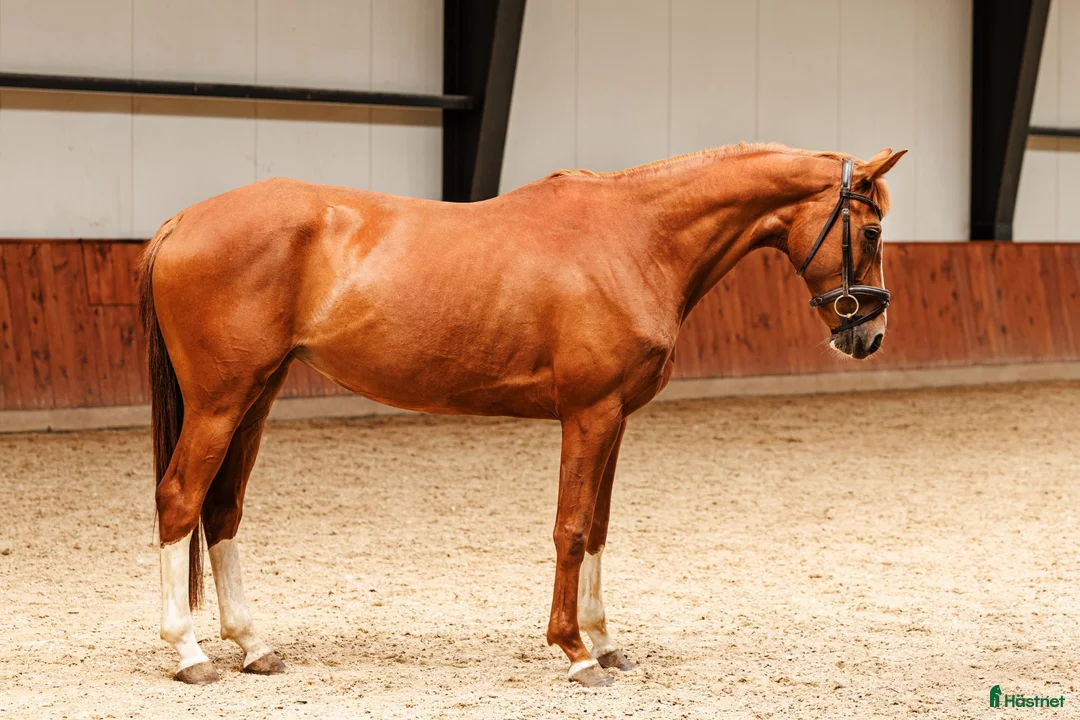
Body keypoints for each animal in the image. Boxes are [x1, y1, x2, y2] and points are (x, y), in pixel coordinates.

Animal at [139, 142, 905, 687]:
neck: (637, 238)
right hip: (219, 402)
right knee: (180, 500)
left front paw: (606, 641)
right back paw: (189, 653)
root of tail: (182, 221)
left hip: (256, 398)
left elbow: (598, 530)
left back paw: (253, 646)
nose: (867, 335)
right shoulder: (589, 415)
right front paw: (575, 651)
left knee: (222, 511)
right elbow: (571, 528)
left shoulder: (616, 419)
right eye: (870, 230)